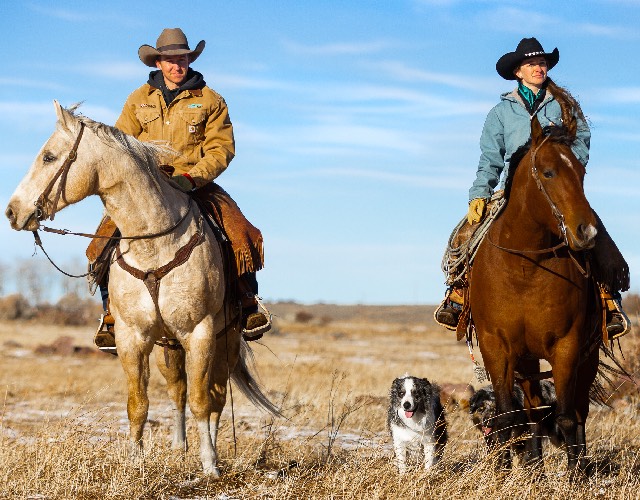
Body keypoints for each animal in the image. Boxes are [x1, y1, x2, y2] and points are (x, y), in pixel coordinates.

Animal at [4, 100, 280, 476]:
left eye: (48, 156)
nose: (12, 211)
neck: (155, 243)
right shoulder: (132, 337)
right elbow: (139, 403)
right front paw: (136, 463)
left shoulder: (200, 333)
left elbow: (202, 401)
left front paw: (210, 464)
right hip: (169, 346)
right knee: (178, 391)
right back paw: (179, 447)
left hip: (226, 340)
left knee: (216, 397)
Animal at [470, 115, 600, 474]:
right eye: (548, 172)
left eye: (581, 173)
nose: (587, 231)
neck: (524, 268)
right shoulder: (496, 346)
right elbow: (506, 415)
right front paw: (502, 473)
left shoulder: (567, 346)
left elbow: (568, 417)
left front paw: (575, 477)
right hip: (527, 360)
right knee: (534, 412)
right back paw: (534, 468)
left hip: (589, 355)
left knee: (577, 413)